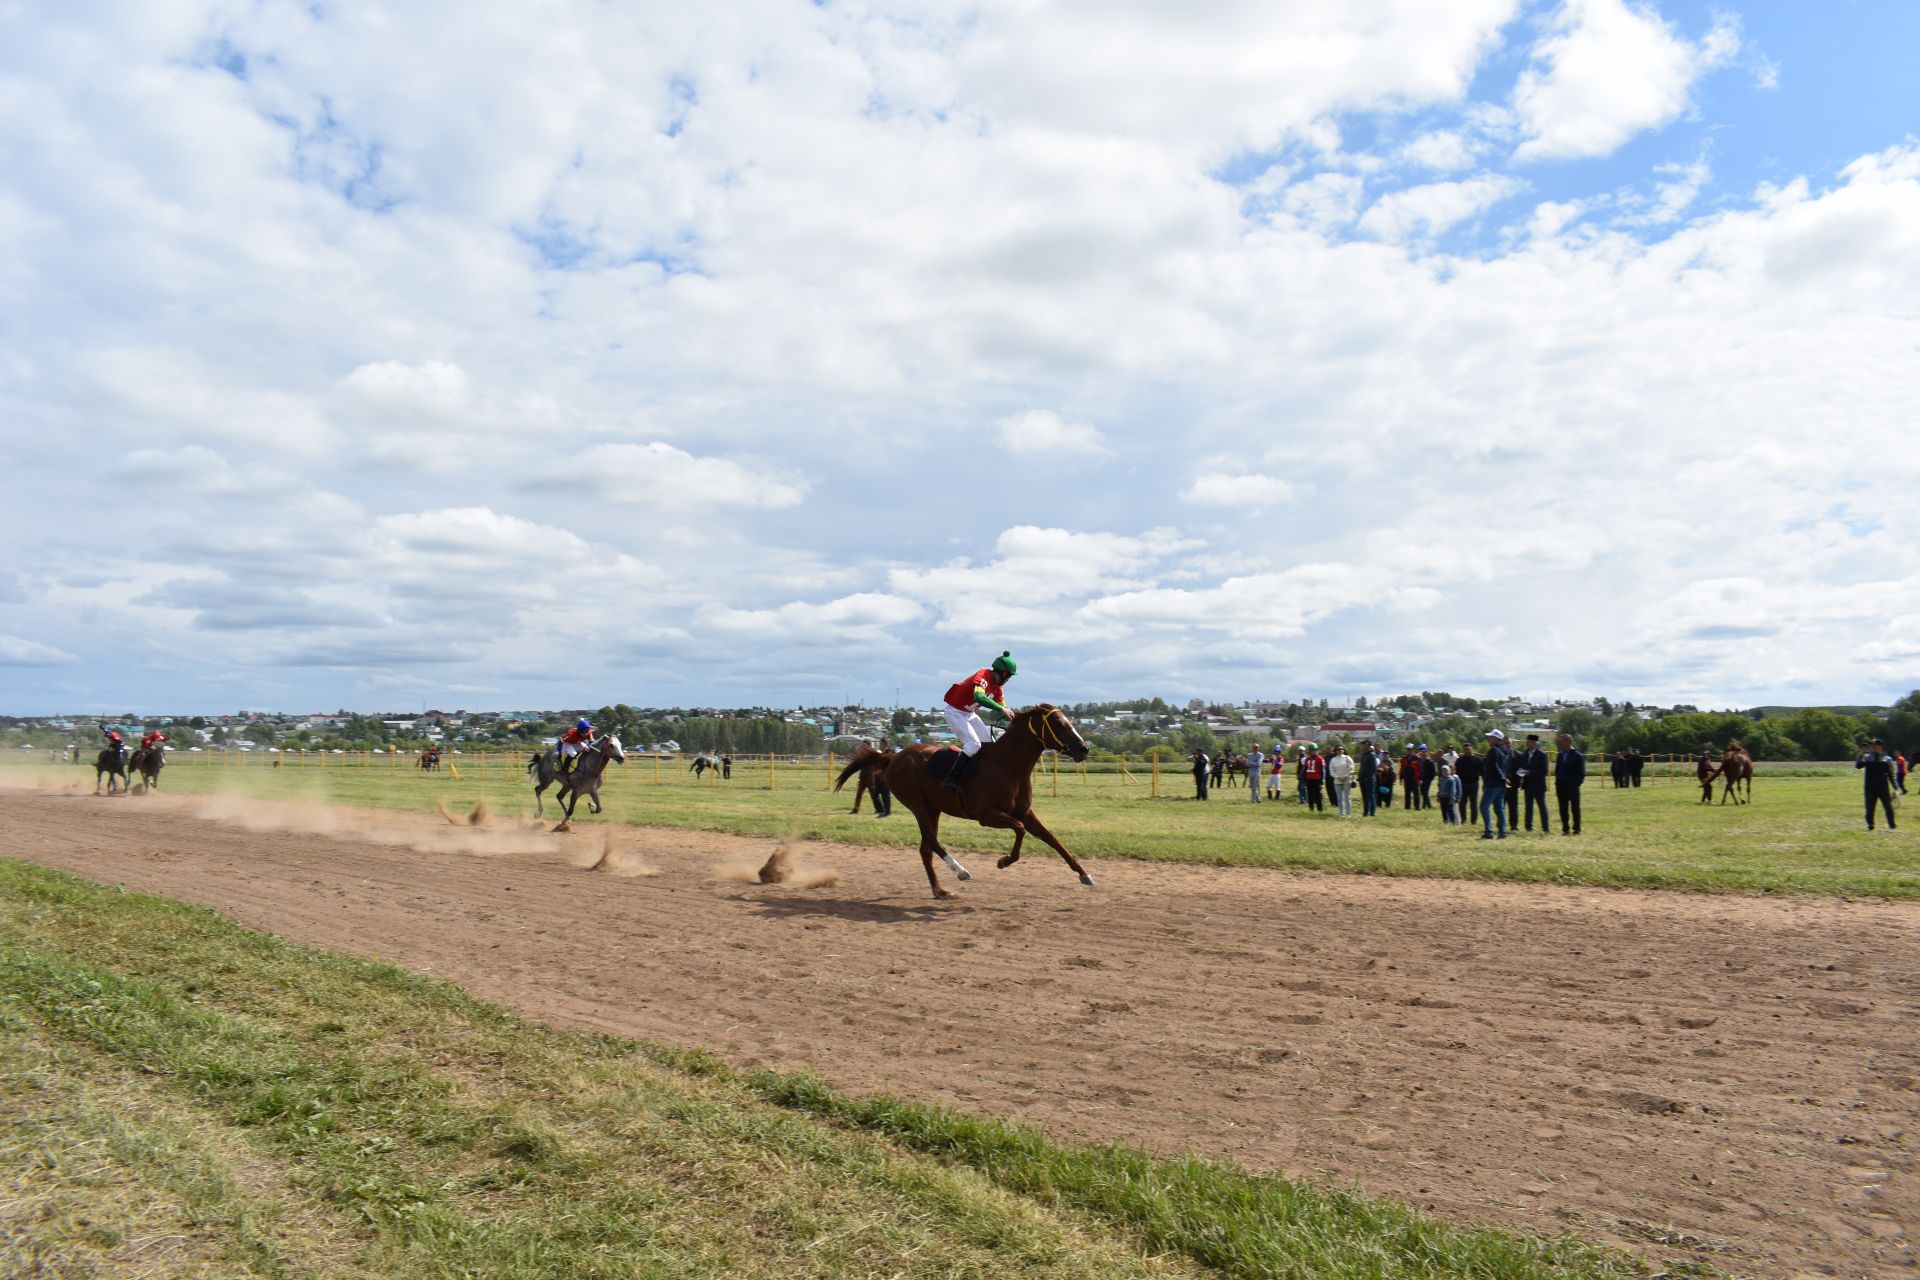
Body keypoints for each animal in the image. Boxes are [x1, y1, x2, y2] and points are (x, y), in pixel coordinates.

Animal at [829, 710, 1098, 901]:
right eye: (1058, 724)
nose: (1083, 748)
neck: (1008, 765)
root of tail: (893, 756)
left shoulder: (1025, 812)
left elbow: (1052, 838)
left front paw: (1084, 874)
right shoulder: (987, 815)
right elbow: (1020, 829)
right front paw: (1003, 861)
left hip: (933, 808)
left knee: (925, 847)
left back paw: (940, 890)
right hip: (917, 804)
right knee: (931, 841)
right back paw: (960, 870)